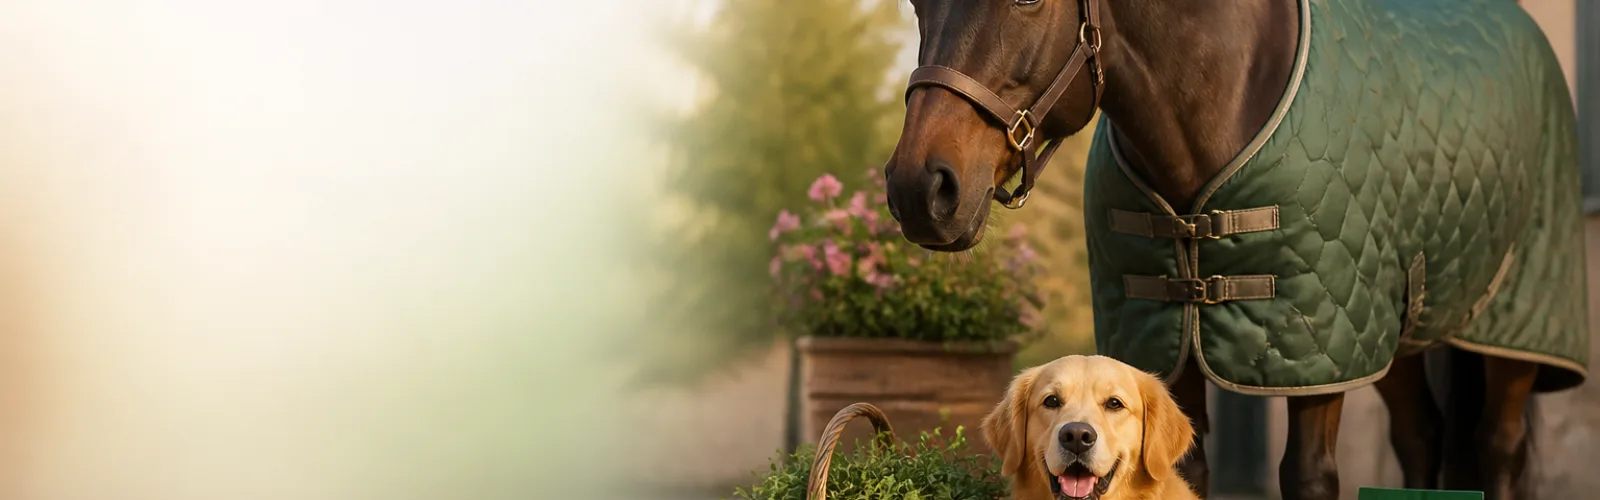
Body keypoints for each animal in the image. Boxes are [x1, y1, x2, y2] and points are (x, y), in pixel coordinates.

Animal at [881, 0, 1587, 499]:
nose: (920, 187)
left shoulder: (1318, 356)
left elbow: (1307, 476)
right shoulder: (1170, 348)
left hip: (1510, 331)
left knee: (1497, 444)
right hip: (1394, 336)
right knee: (1421, 437)